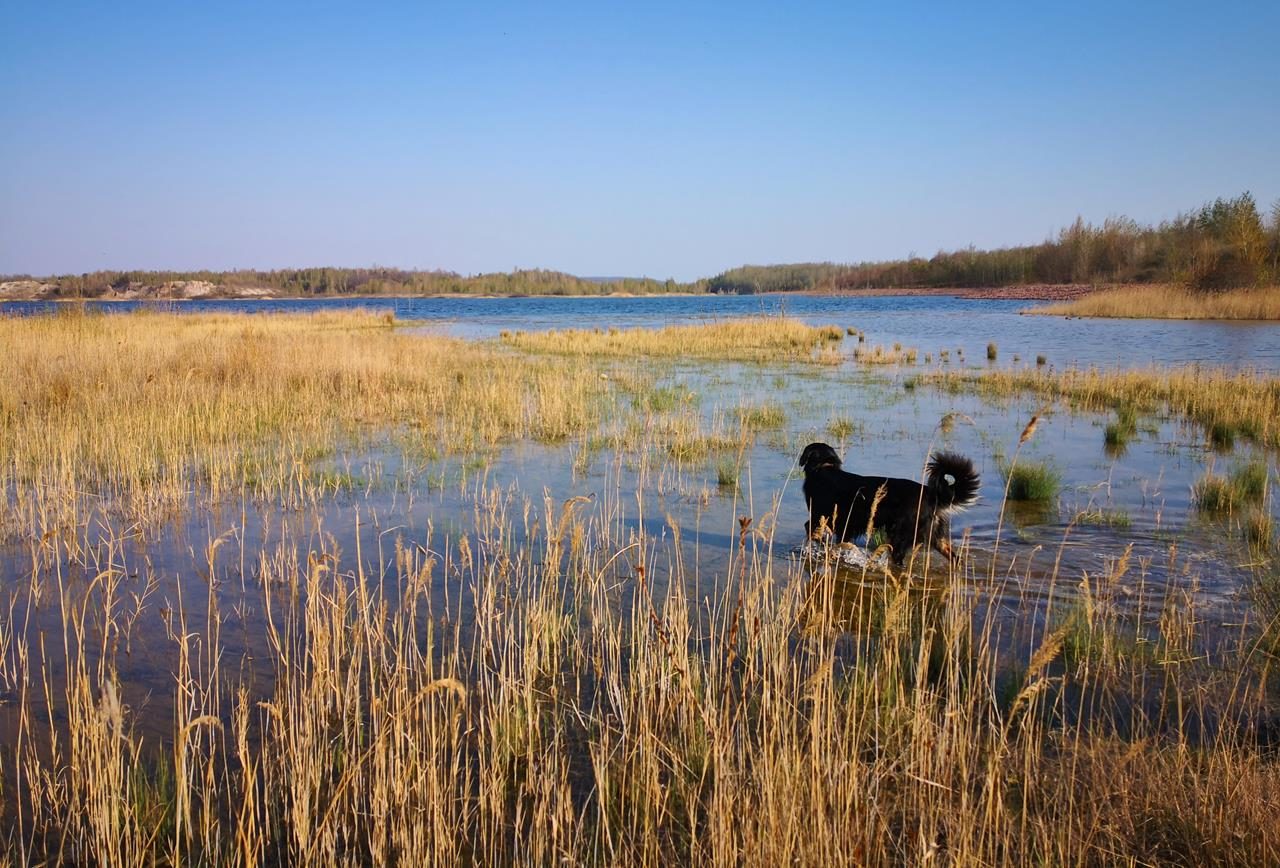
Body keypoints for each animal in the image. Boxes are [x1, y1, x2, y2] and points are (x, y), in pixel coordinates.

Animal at [798, 445, 977, 568]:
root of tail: (931, 494)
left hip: (900, 536)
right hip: (935, 537)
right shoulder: (844, 527)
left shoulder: (821, 516)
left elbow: (810, 528)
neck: (823, 470)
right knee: (954, 557)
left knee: (899, 558)